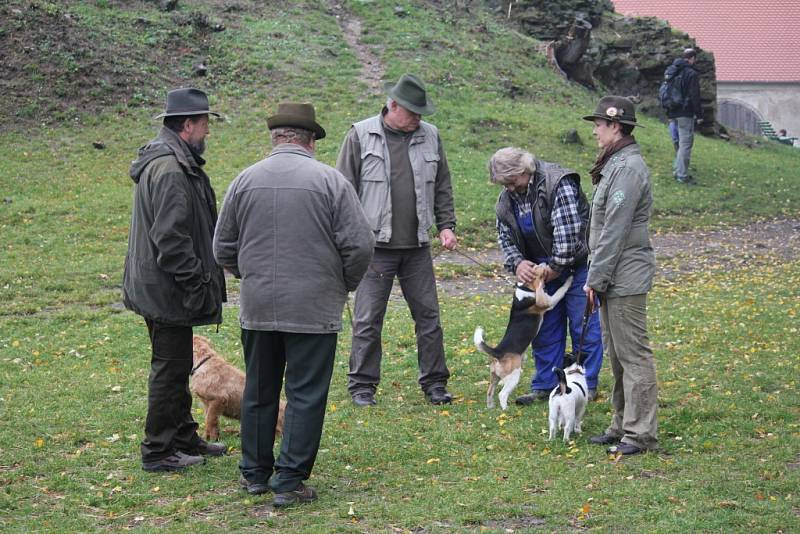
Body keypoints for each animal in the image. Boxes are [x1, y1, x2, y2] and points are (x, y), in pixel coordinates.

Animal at [472, 266, 572, 412]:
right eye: (538, 269)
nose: (546, 264)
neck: (525, 288)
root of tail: (497, 352)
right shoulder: (548, 302)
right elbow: (560, 290)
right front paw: (570, 280)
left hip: (494, 376)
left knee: (490, 391)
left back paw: (491, 407)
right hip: (514, 374)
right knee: (502, 393)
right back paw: (506, 409)